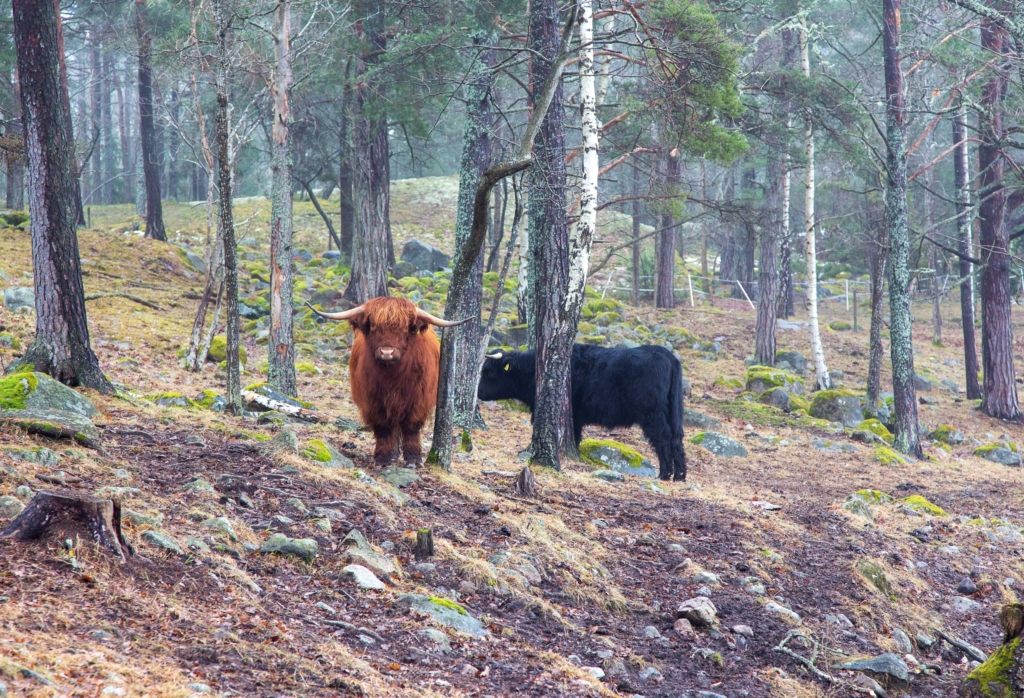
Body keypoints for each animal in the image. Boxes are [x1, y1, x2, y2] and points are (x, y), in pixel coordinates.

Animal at [473, 341, 684, 478]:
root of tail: (666, 354)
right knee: (677, 439)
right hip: (674, 412)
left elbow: (575, 437)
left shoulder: (575, 416)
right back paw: (680, 475)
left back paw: (665, 474)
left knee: (663, 438)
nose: (479, 392)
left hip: (652, 414)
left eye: (489, 372)